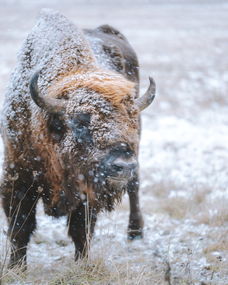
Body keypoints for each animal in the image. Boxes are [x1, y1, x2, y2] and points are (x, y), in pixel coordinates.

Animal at [0, 8, 156, 266]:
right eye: (81, 122)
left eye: (129, 122)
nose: (123, 165)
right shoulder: (17, 177)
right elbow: (20, 228)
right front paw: (16, 267)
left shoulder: (86, 191)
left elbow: (81, 230)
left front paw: (82, 263)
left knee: (134, 187)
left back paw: (135, 233)